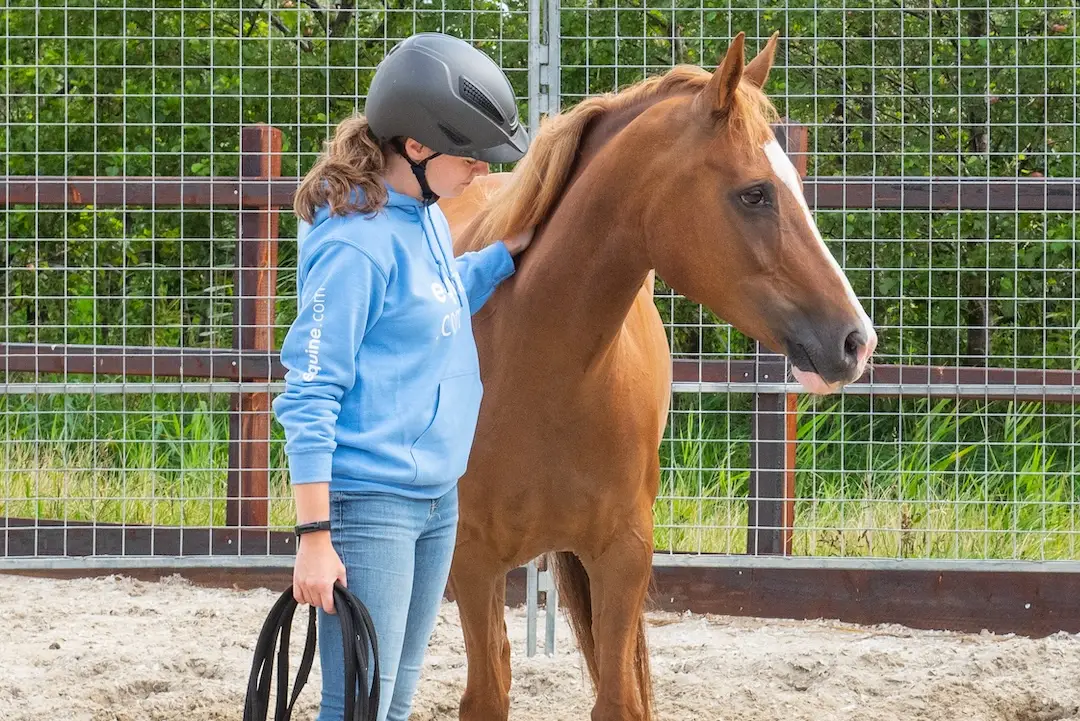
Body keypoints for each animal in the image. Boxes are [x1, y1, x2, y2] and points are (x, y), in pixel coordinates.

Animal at [437, 32, 877, 721]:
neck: (536, 371)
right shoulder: (472, 561)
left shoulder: (623, 555)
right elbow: (487, 692)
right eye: (754, 193)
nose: (857, 341)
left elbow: (620, 699)